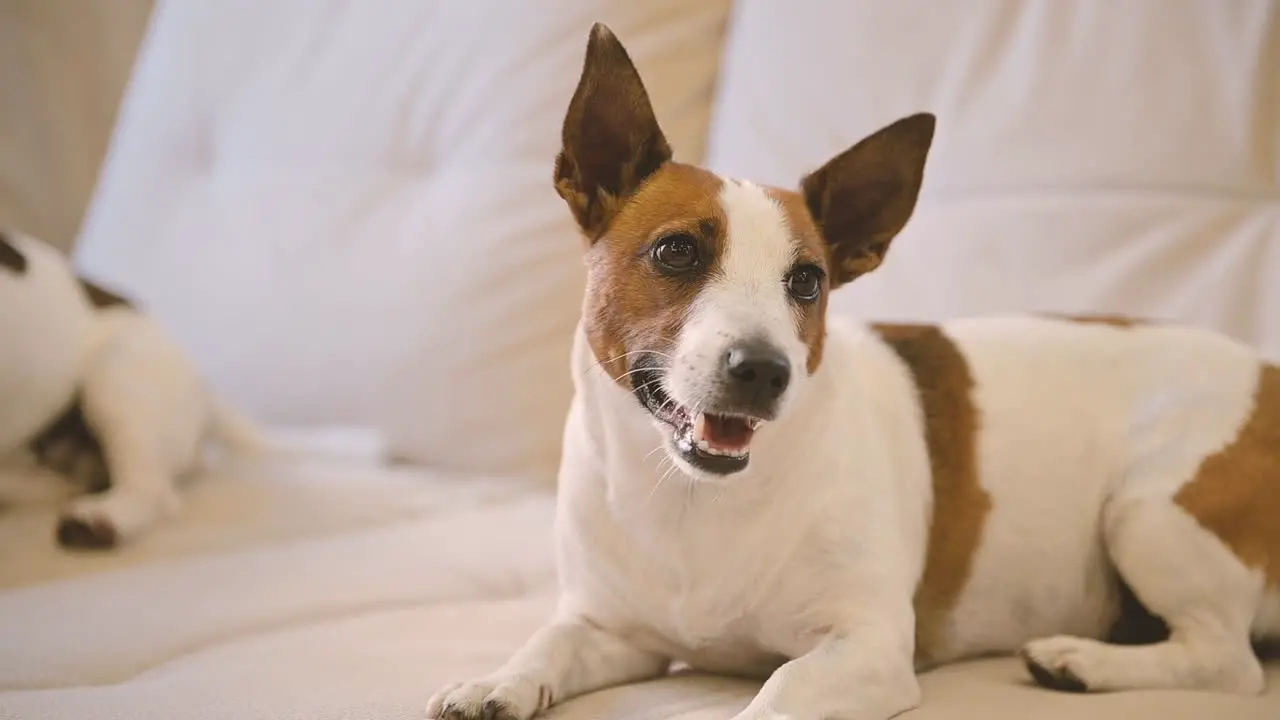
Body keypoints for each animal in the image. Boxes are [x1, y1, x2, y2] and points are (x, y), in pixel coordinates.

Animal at [424, 22, 1274, 717]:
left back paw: (1083, 662)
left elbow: (777, 694)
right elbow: (549, 643)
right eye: (677, 251)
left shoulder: (865, 646)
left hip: (1149, 511)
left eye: (808, 282)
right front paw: (494, 681)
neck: (697, 501)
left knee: (1228, 663)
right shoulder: (612, 628)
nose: (764, 371)